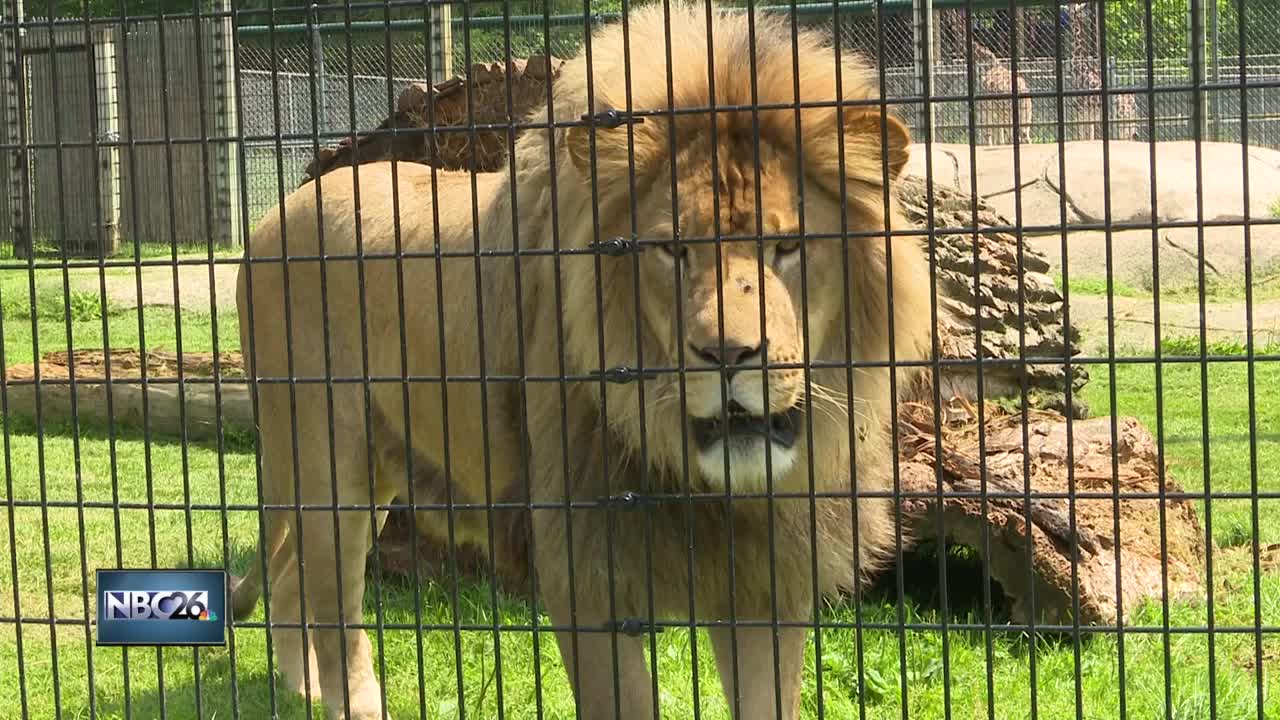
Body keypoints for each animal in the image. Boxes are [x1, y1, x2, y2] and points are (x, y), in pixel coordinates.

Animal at [230, 2, 931, 712]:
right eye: (672, 250)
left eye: (788, 247)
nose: (727, 352)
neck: (702, 479)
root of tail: (274, 214)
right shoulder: (583, 569)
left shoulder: (765, 582)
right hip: (327, 465)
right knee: (333, 601)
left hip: (374, 475)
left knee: (292, 578)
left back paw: (298, 686)